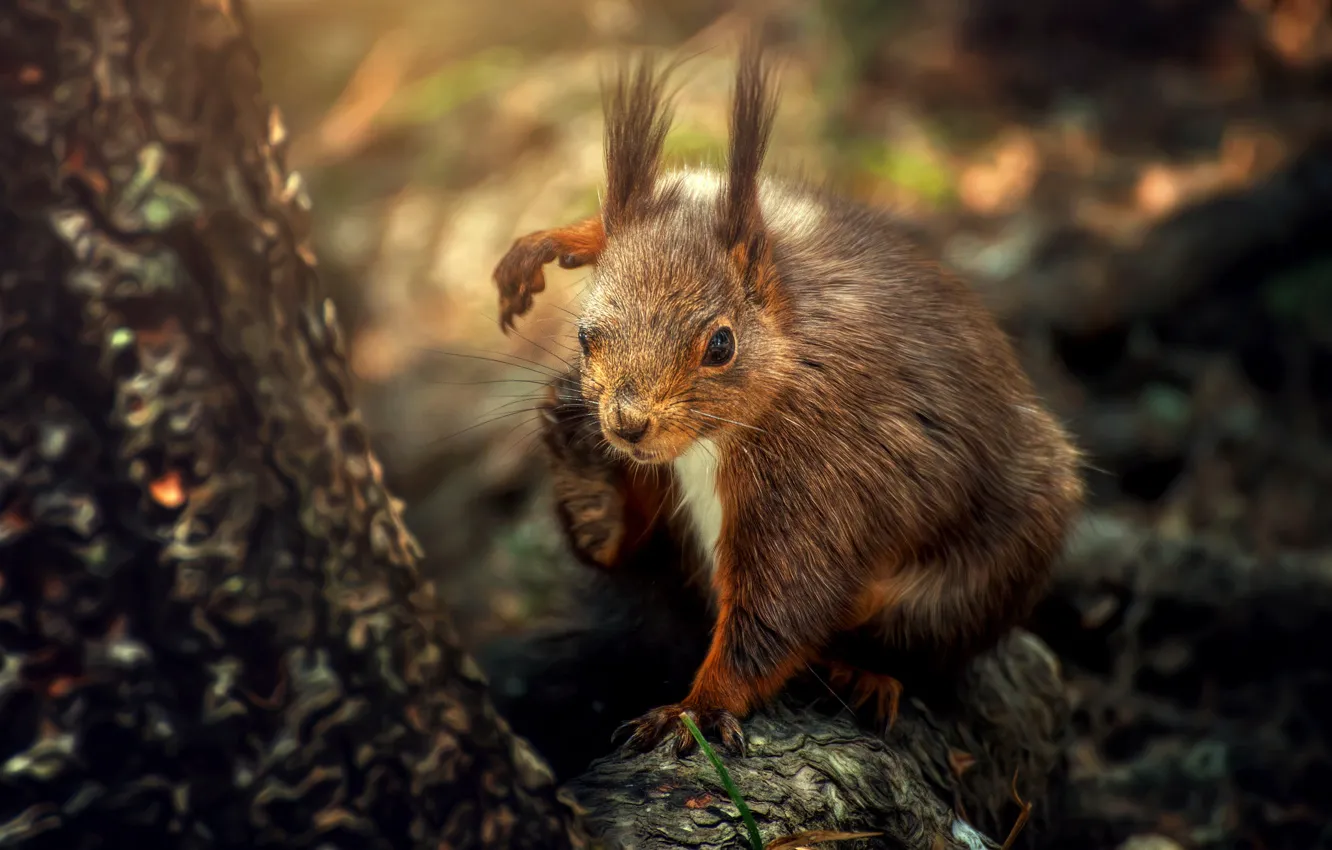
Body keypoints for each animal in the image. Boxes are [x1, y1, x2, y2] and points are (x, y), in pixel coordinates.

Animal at [490, 41, 1081, 756]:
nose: (627, 425)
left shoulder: (821, 469)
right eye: (583, 336)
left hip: (972, 582)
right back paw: (588, 486)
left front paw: (697, 709)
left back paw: (863, 673)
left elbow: (781, 606)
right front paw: (558, 241)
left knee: (914, 646)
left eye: (720, 345)